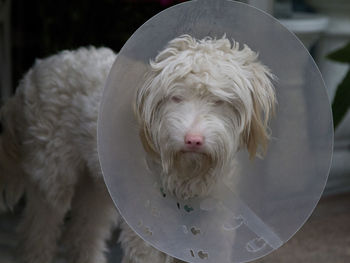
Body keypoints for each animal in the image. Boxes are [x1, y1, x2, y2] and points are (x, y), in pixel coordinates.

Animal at [0, 35, 276, 263]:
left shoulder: (214, 235)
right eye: (176, 97)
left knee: (84, 234)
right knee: (38, 233)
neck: (186, 176)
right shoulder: (148, 238)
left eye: (219, 101)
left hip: (97, 189)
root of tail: (37, 69)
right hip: (52, 178)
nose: (193, 140)